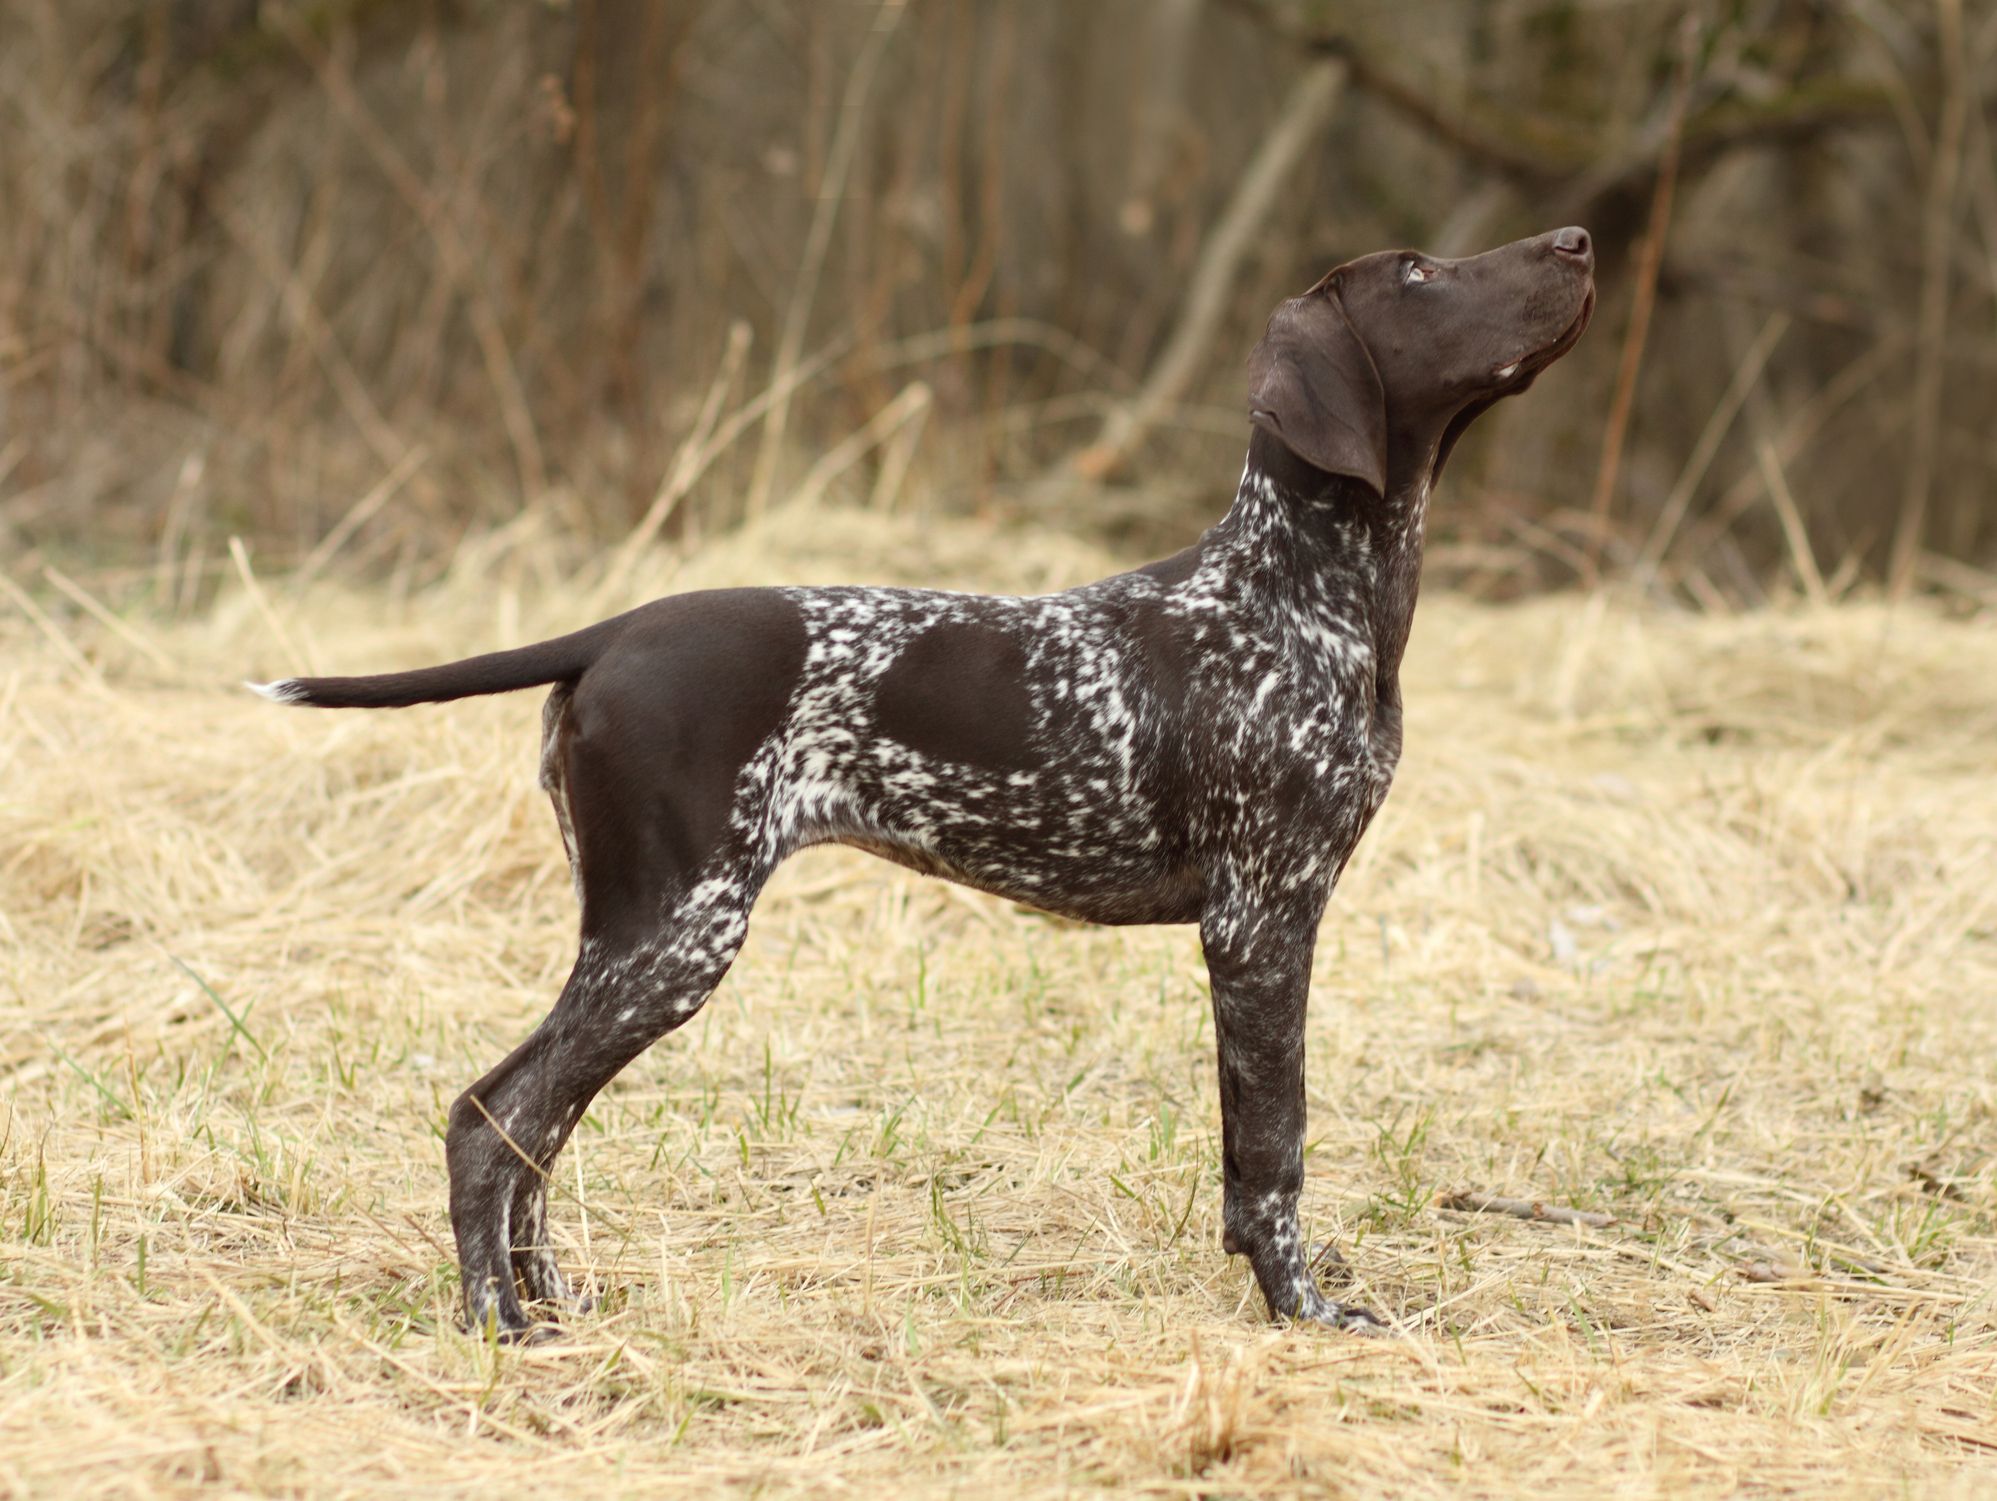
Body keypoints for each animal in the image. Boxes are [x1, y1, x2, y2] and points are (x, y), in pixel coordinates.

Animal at [253, 225, 1589, 1333]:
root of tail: (614, 632)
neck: (1292, 591)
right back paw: (497, 1319)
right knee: (492, 1117)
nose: (1577, 239)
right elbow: (1273, 1151)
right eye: (1418, 272)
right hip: (673, 935)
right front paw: (1301, 1309)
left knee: (539, 1124)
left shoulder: (1262, 926)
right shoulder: (1260, 924)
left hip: (636, 940)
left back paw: (551, 1295)